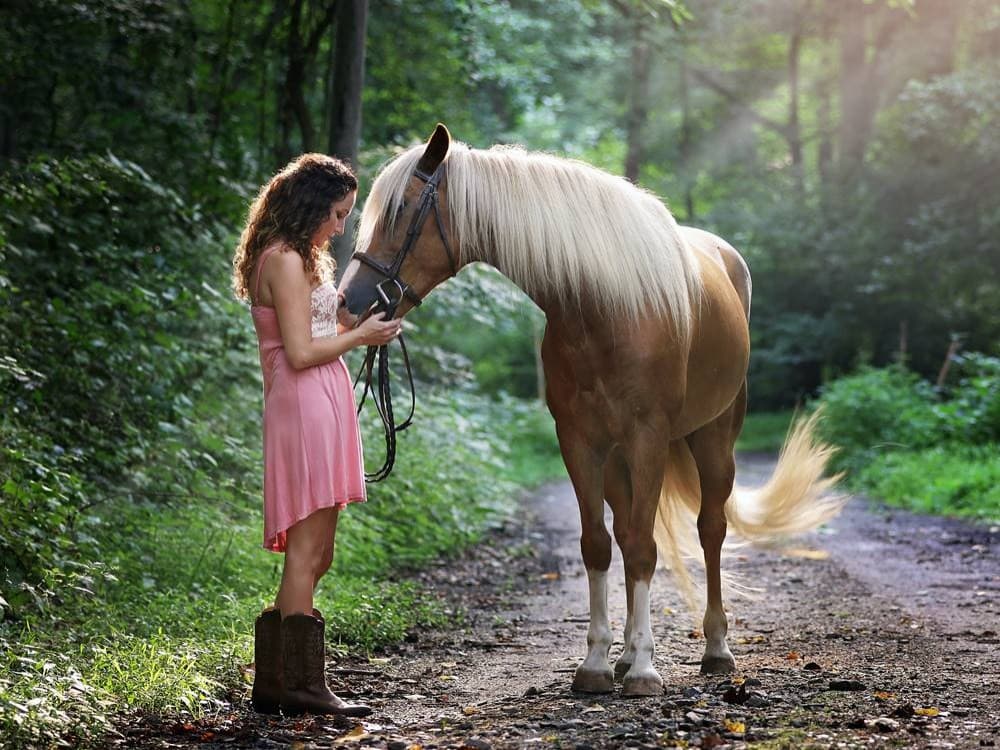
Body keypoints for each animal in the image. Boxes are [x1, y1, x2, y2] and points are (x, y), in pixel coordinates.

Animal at [336, 124, 843, 696]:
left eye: (401, 210)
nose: (348, 302)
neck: (604, 308)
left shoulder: (648, 438)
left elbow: (645, 548)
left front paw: (645, 671)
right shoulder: (579, 441)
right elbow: (599, 545)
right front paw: (600, 663)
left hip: (714, 439)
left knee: (710, 529)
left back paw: (715, 648)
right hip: (621, 457)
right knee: (625, 532)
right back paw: (624, 655)